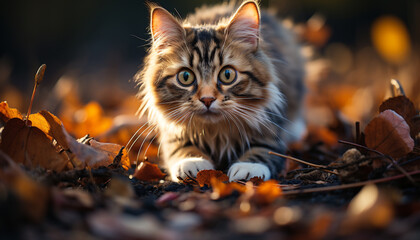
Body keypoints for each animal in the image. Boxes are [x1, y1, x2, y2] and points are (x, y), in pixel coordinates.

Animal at [137, 0, 306, 182]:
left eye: (227, 75)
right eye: (185, 77)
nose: (207, 99)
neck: (216, 132)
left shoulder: (271, 130)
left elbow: (263, 150)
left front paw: (248, 168)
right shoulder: (172, 134)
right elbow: (181, 148)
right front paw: (193, 161)